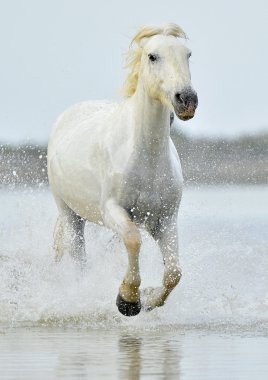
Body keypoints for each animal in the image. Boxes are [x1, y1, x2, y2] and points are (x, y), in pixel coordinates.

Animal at [46, 22, 197, 316]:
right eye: (152, 56)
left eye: (188, 55)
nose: (186, 100)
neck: (146, 158)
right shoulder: (113, 211)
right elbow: (133, 239)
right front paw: (127, 300)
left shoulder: (165, 219)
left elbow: (174, 273)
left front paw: (147, 299)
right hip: (70, 214)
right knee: (79, 260)